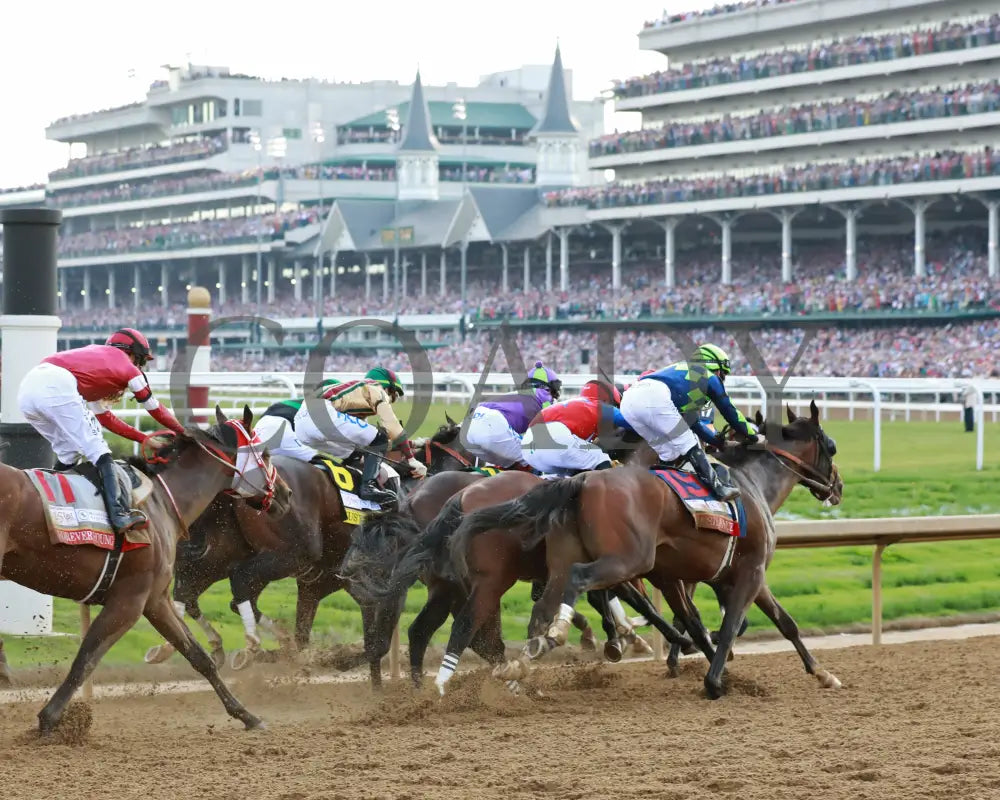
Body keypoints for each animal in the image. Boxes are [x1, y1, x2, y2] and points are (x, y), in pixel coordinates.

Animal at [0, 410, 292, 736]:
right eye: (265, 454)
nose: (286, 493)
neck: (162, 501)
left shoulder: (155, 600)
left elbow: (198, 656)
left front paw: (247, 715)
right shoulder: (129, 601)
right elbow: (85, 661)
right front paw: (49, 721)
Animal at [458, 400, 844, 700]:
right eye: (831, 446)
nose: (837, 486)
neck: (752, 484)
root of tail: (581, 480)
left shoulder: (703, 575)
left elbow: (779, 622)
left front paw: (823, 673)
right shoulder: (747, 571)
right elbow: (730, 623)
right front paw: (714, 680)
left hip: (564, 561)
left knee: (544, 606)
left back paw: (526, 661)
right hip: (625, 559)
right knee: (581, 582)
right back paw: (565, 637)